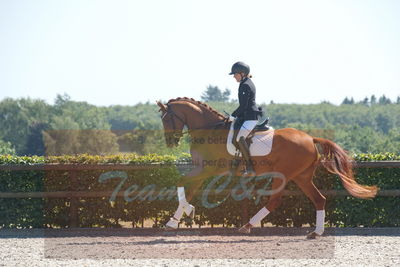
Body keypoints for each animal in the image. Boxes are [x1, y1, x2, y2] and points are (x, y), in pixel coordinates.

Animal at [157, 97, 378, 239]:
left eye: (167, 119)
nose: (170, 142)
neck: (209, 130)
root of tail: (310, 138)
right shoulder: (202, 170)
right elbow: (188, 190)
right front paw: (175, 220)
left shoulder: (208, 170)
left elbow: (180, 182)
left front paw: (185, 213)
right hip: (302, 177)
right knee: (319, 199)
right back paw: (315, 232)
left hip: (284, 175)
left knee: (275, 201)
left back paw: (247, 226)